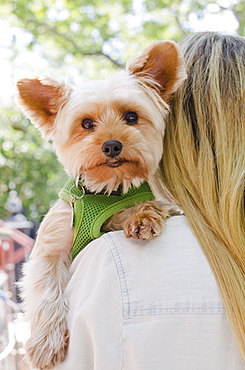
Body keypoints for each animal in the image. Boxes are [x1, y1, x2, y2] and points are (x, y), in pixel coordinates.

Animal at [16, 39, 186, 368]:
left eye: (131, 117)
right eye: (86, 123)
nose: (111, 145)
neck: (105, 189)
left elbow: (146, 207)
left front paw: (141, 218)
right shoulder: (51, 244)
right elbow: (46, 290)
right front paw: (45, 343)